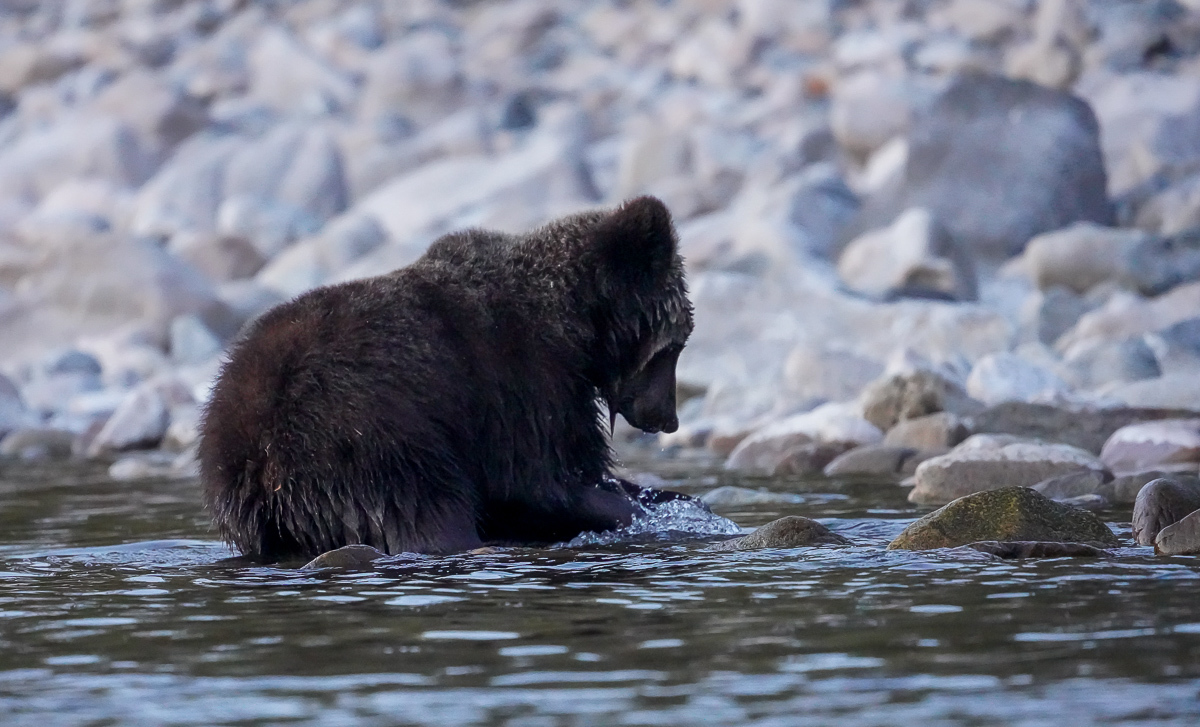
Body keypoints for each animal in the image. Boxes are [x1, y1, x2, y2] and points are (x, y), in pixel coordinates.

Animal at [198, 196, 696, 561]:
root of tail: (255, 462)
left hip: (256, 503)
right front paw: (636, 508)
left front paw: (665, 497)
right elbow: (543, 480)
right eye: (674, 346)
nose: (667, 418)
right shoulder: (523, 382)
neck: (575, 326)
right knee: (427, 511)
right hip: (369, 444)